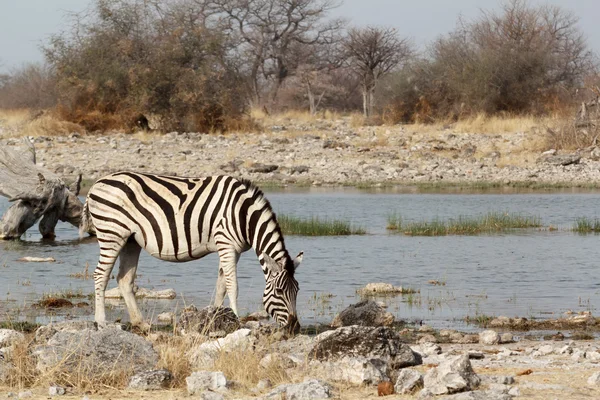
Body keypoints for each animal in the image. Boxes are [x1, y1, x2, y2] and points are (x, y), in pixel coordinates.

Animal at [79, 173, 302, 334]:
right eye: (279, 292)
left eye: (297, 291)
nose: (294, 328)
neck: (243, 214)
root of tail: (96, 184)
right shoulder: (226, 244)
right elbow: (232, 285)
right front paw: (238, 320)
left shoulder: (232, 249)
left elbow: (221, 284)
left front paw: (215, 317)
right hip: (112, 233)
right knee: (101, 275)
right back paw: (101, 322)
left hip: (131, 240)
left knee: (124, 280)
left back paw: (140, 323)